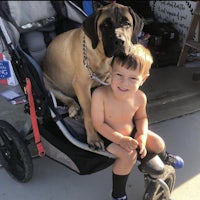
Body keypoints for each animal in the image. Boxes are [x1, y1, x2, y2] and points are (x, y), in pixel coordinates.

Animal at [42, 2, 144, 150]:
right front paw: (94, 138)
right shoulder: (81, 85)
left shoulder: (108, 81)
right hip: (47, 83)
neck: (101, 55)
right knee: (64, 97)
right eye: (105, 25)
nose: (119, 41)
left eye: (127, 23)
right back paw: (73, 107)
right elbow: (89, 113)